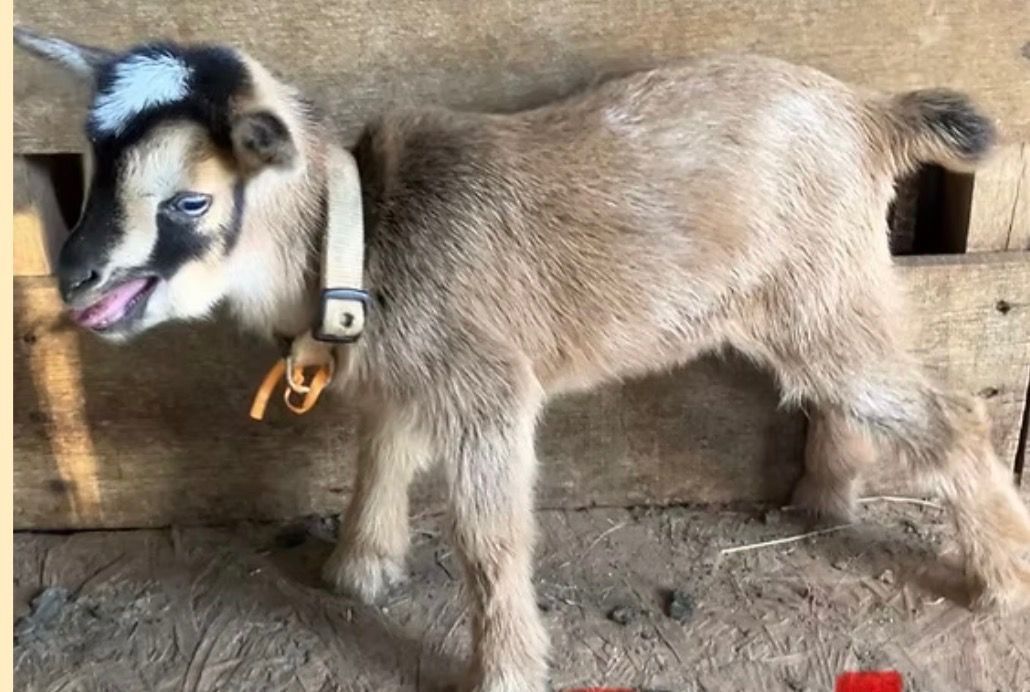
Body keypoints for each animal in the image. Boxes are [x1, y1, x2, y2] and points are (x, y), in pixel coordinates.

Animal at [15, 27, 1030, 692]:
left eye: (188, 201)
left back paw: (1004, 577)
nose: (75, 276)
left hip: (823, 294)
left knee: (952, 412)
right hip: (822, 296)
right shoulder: (409, 379)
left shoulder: (487, 389)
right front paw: (358, 570)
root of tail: (870, 113)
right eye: (92, 169)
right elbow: (381, 459)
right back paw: (826, 501)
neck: (363, 236)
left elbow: (489, 535)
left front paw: (503, 668)